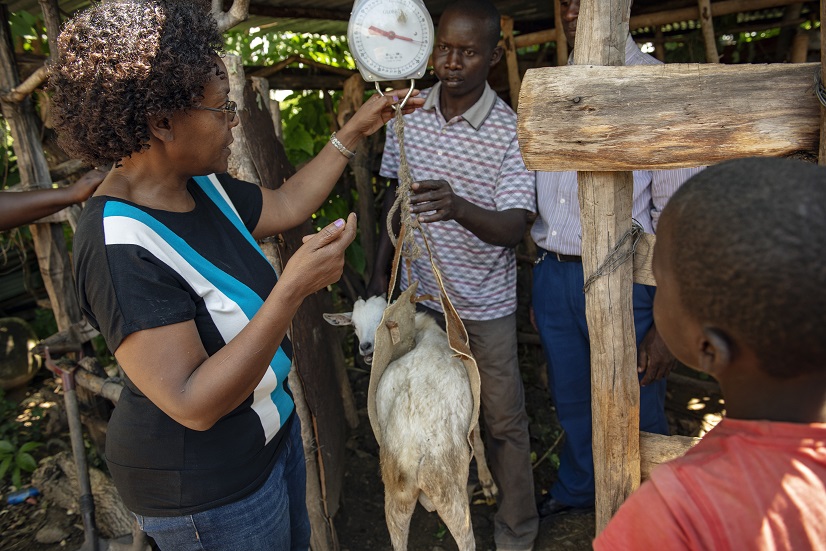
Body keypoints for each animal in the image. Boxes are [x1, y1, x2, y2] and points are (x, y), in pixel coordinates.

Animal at [324, 298, 496, 551]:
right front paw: (488, 483)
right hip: (448, 486)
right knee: (465, 538)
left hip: (396, 492)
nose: (365, 347)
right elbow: (481, 444)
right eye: (354, 325)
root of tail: (411, 452)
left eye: (383, 319)